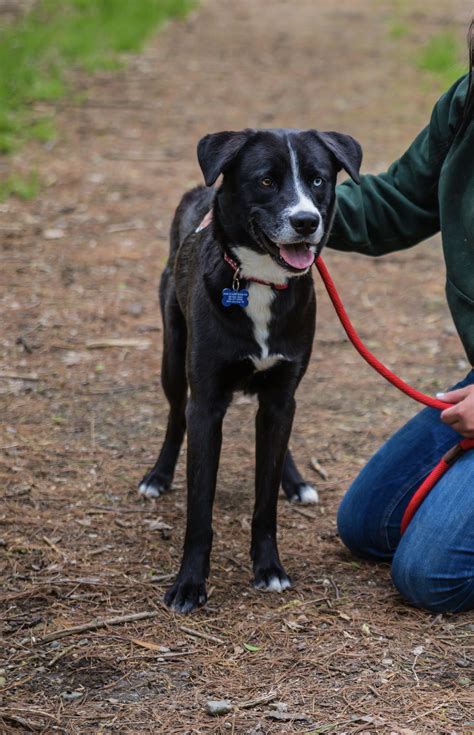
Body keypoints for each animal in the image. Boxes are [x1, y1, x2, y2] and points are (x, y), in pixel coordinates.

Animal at [139, 129, 362, 612]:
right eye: (265, 181)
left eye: (318, 180)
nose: (306, 222)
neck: (259, 282)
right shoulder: (206, 406)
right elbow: (199, 511)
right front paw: (189, 585)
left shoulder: (280, 397)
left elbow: (265, 502)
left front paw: (269, 568)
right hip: (172, 359)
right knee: (174, 415)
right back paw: (158, 476)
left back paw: (295, 481)